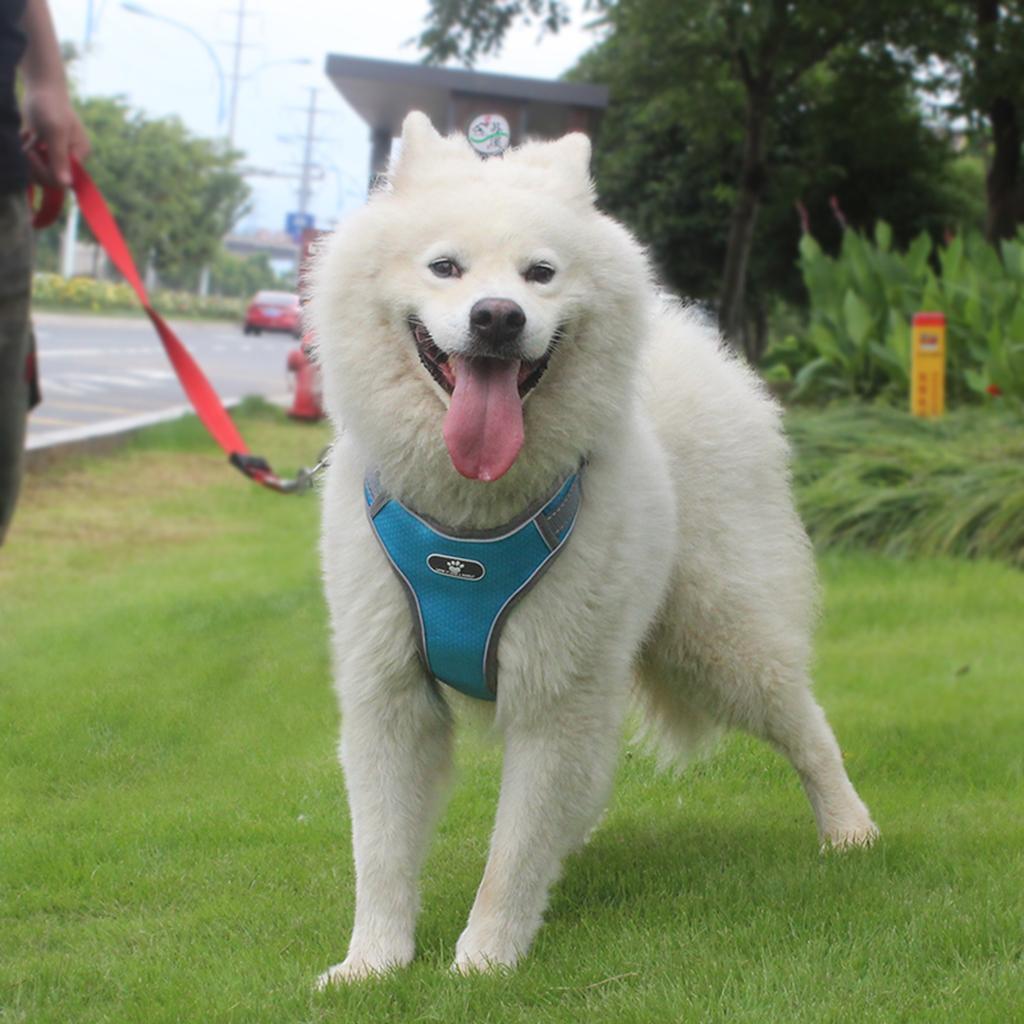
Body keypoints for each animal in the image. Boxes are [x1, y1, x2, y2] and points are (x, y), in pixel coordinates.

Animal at [307, 112, 876, 983]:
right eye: (446, 266)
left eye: (541, 273)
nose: (498, 316)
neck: (467, 528)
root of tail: (690, 341)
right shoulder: (389, 692)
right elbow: (382, 851)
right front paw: (372, 963)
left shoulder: (554, 692)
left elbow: (510, 851)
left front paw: (485, 959)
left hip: (718, 642)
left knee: (805, 725)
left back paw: (848, 826)